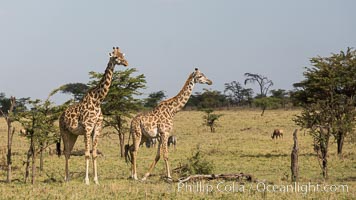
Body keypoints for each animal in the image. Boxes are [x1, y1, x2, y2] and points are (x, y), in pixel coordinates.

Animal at [59, 46, 129, 184]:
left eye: (122, 55)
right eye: (115, 57)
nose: (126, 63)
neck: (98, 100)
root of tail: (61, 115)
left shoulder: (97, 127)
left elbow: (94, 153)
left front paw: (96, 180)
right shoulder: (87, 128)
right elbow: (87, 153)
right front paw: (86, 180)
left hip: (73, 134)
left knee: (68, 152)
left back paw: (68, 178)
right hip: (64, 131)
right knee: (65, 152)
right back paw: (66, 178)